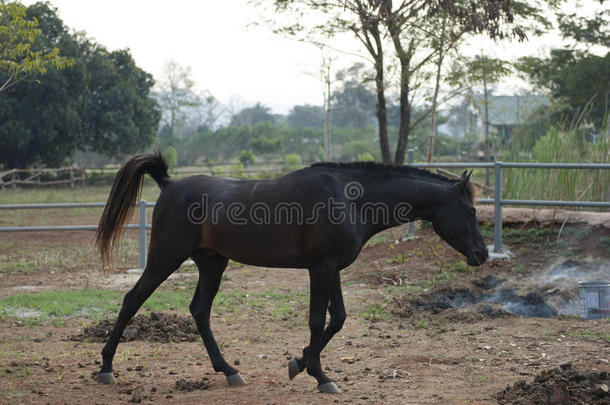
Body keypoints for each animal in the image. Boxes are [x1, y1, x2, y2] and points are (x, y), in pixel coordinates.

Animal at [95, 152, 486, 392]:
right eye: (470, 211)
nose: (481, 255)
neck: (350, 198)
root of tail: (169, 184)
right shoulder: (321, 268)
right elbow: (317, 320)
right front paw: (319, 375)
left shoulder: (332, 269)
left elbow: (337, 318)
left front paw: (299, 363)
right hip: (165, 259)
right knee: (132, 301)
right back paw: (106, 368)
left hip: (212, 263)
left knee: (199, 311)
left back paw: (229, 371)